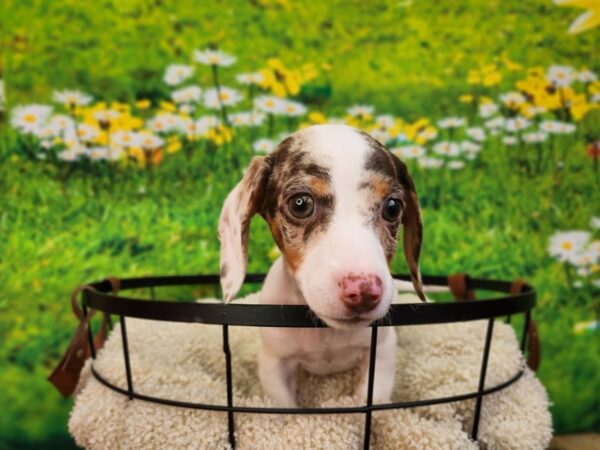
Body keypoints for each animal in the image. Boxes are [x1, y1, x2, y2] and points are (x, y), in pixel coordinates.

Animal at [218, 124, 424, 408]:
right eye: (300, 204)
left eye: (393, 207)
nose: (364, 293)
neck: (327, 333)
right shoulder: (274, 364)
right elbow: (284, 404)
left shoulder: (382, 352)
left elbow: (371, 396)